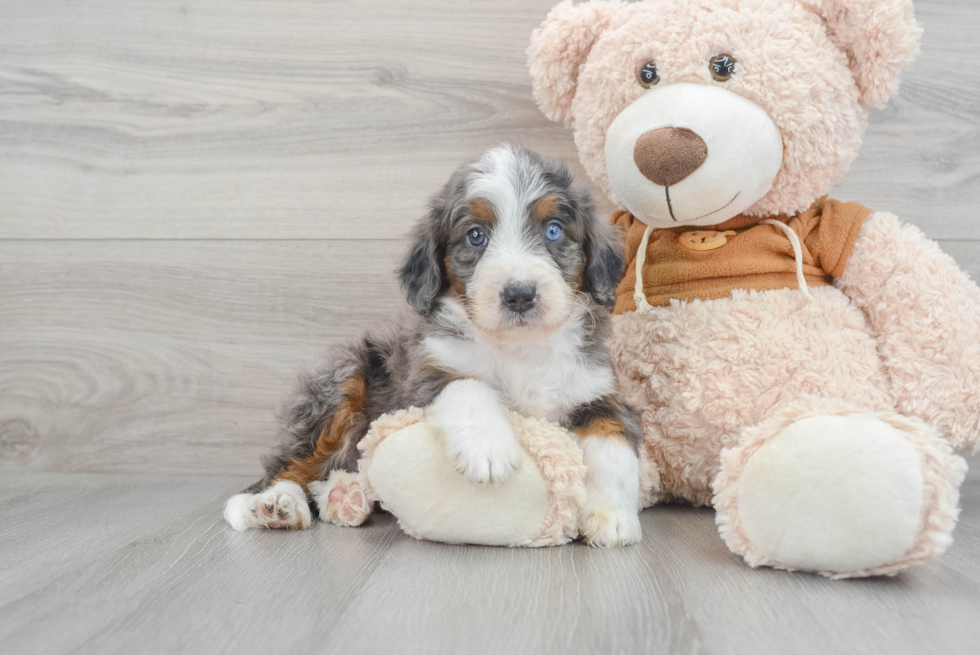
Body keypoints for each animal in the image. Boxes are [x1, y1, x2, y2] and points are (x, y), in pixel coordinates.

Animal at [226, 145, 648, 548]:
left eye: (554, 231)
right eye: (476, 235)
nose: (520, 294)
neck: (519, 348)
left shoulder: (600, 392)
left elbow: (612, 443)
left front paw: (610, 517)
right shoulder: (424, 375)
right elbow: (468, 385)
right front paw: (488, 448)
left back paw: (345, 497)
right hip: (340, 381)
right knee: (290, 463)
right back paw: (276, 504)